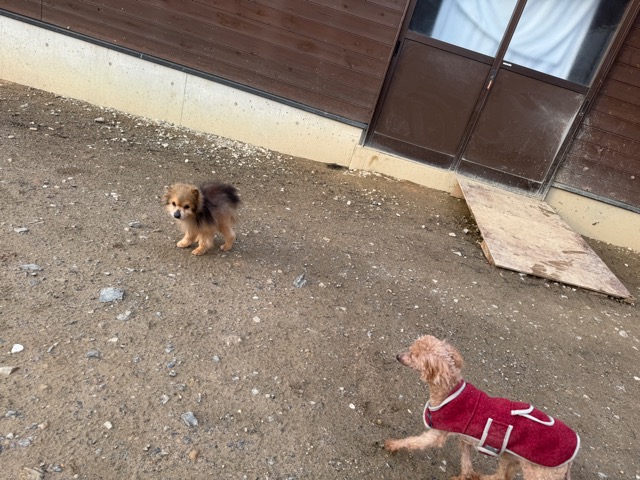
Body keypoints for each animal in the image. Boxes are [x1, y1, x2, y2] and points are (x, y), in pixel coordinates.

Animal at [384, 336, 579, 480]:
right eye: (411, 349)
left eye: (414, 355)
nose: (397, 356)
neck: (448, 391)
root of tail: (571, 459)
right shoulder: (466, 438)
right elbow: (466, 462)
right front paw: (466, 475)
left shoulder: (437, 434)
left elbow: (414, 442)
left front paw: (393, 444)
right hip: (512, 458)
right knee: (502, 476)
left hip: (539, 472)